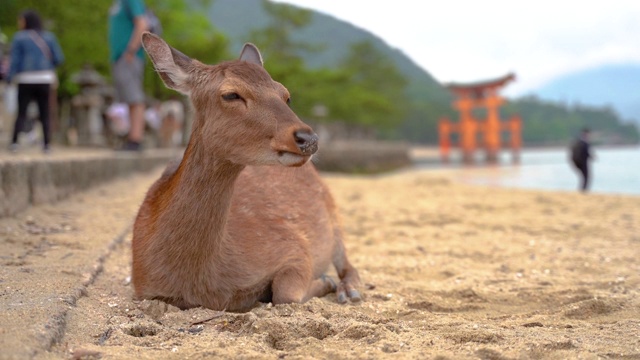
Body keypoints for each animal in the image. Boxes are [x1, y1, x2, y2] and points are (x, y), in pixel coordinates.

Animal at [131, 32, 360, 310]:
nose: (309, 139)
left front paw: (326, 280)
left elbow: (285, 293)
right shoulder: (143, 288)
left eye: (285, 95)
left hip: (334, 215)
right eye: (231, 95)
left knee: (348, 263)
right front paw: (325, 281)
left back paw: (348, 290)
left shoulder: (294, 244)